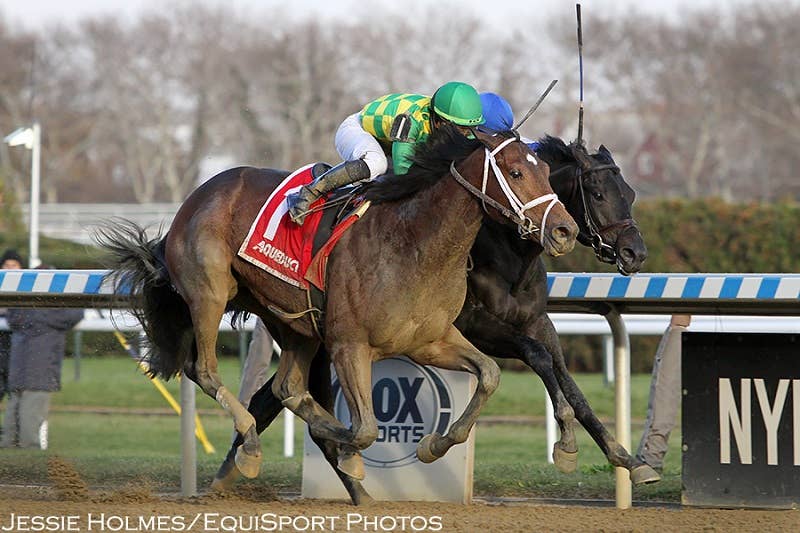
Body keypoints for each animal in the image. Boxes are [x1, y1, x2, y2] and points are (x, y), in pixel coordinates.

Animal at [97, 125, 579, 505]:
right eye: (516, 173)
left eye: (544, 171)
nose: (565, 230)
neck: (413, 244)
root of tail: (198, 195)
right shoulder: (350, 344)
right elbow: (364, 429)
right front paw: (350, 454)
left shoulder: (430, 340)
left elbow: (489, 376)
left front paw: (433, 446)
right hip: (210, 293)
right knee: (206, 369)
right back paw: (251, 446)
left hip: (290, 319)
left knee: (287, 387)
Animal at [210, 135, 658, 502]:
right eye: (598, 194)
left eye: (631, 193)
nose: (635, 253)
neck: (503, 247)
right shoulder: (475, 325)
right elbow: (539, 357)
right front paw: (566, 444)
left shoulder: (536, 321)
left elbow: (569, 383)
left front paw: (628, 459)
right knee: (274, 396)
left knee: (274, 395)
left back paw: (243, 466)